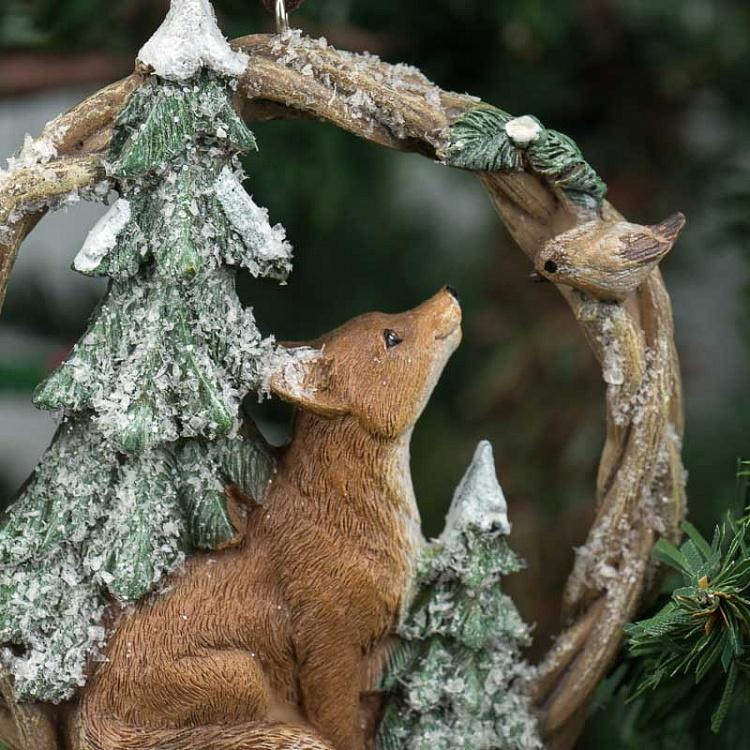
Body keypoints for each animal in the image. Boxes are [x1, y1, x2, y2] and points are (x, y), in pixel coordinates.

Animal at [71, 287, 462, 750]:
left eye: (387, 316)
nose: (448, 295)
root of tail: (91, 715)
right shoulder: (328, 644)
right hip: (241, 672)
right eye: (391, 337)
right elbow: (340, 725)